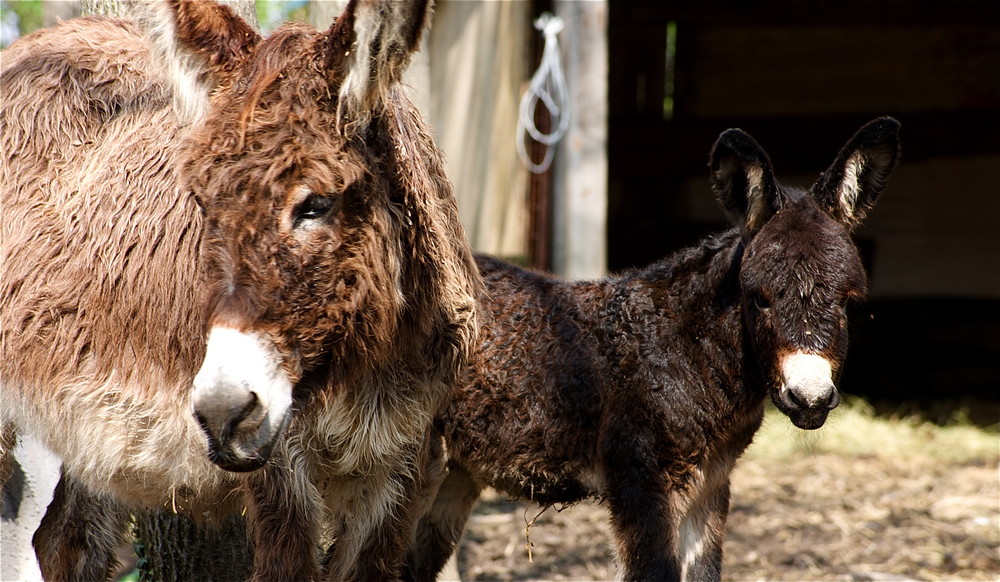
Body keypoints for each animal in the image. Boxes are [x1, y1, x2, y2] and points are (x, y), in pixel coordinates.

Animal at [404, 120, 900, 582]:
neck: (687, 351)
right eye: (759, 297)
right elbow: (655, 572)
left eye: (847, 301)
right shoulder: (640, 480)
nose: (809, 397)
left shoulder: (711, 483)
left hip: (455, 471)